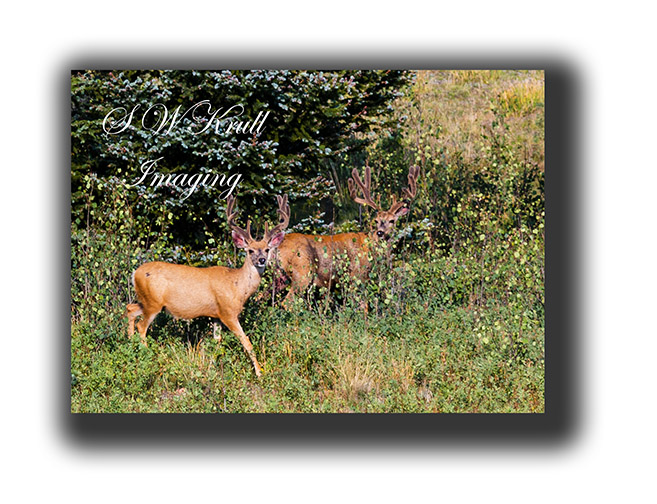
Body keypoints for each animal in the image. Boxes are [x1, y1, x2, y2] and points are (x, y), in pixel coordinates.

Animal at [126, 194, 290, 377]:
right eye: (250, 251)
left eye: (267, 249)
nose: (261, 260)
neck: (237, 286)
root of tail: (135, 273)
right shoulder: (228, 313)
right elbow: (246, 341)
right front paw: (260, 372)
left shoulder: (216, 316)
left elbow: (216, 342)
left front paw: (211, 368)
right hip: (153, 303)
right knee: (141, 326)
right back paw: (147, 356)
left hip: (146, 301)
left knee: (130, 309)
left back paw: (132, 348)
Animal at [274, 164, 420, 306]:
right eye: (376, 220)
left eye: (392, 220)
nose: (380, 233)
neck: (370, 247)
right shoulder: (357, 275)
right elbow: (363, 305)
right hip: (302, 272)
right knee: (287, 302)